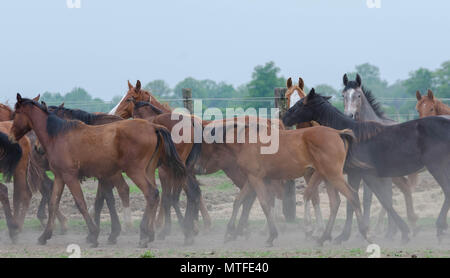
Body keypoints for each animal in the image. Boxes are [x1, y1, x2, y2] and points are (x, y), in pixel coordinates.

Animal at [11, 94, 186, 248]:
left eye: (16, 114)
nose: (12, 135)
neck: (59, 135)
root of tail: (153, 126)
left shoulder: (71, 176)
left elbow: (82, 203)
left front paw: (94, 235)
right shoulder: (61, 177)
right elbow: (53, 204)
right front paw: (44, 236)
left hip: (135, 172)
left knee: (151, 193)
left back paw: (143, 235)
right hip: (148, 171)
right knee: (155, 195)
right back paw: (149, 234)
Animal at [284, 89, 450, 243]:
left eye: (300, 103)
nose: (284, 117)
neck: (352, 135)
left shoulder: (362, 174)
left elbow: (371, 201)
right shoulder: (361, 175)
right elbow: (375, 200)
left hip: (436, 167)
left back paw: (439, 227)